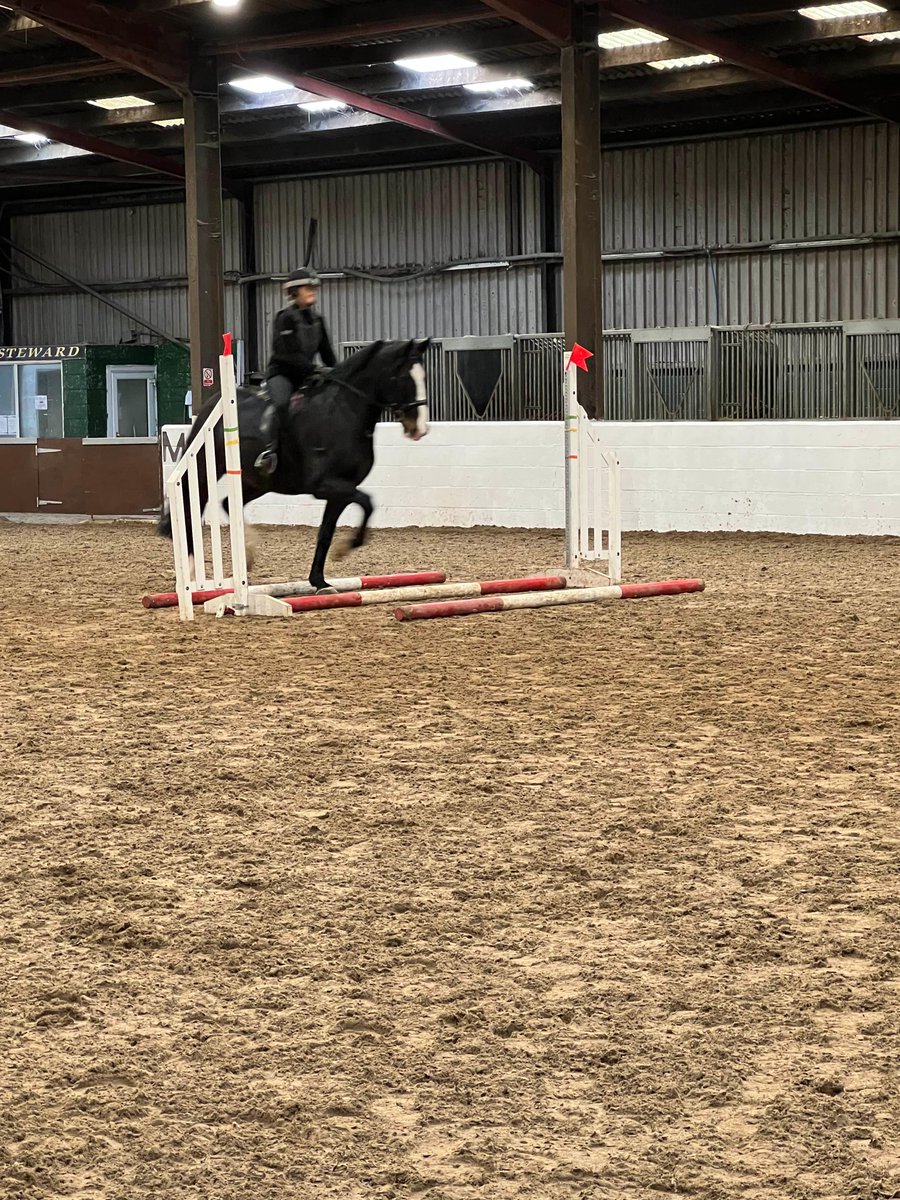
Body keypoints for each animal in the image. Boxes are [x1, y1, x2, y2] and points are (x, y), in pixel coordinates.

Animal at [160, 340, 432, 592]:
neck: (345, 413)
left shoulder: (341, 491)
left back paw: (247, 557)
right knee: (192, 505)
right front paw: (344, 550)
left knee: (228, 503)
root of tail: (212, 403)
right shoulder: (323, 486)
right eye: (403, 377)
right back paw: (192, 574)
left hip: (260, 481)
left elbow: (328, 532)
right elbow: (367, 501)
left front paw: (320, 581)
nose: (419, 429)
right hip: (205, 468)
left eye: (423, 377)